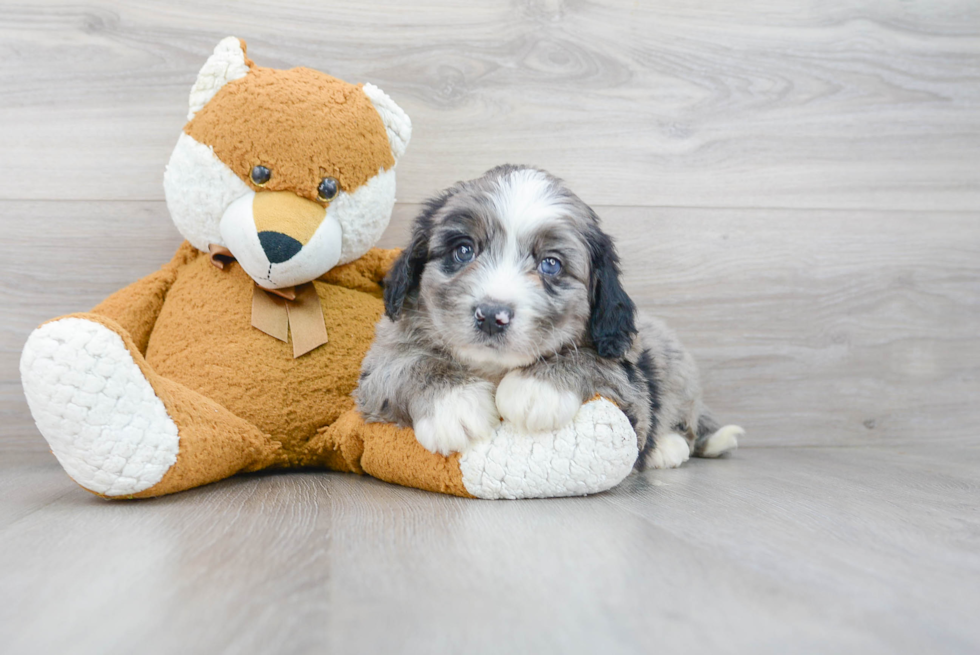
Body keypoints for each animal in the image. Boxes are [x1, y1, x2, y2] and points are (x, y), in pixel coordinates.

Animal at [356, 167, 740, 468]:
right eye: (463, 250)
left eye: (551, 264)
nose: (491, 315)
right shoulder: (377, 362)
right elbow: (404, 362)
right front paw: (454, 404)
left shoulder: (631, 387)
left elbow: (595, 361)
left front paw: (537, 388)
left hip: (675, 366)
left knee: (686, 423)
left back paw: (671, 447)